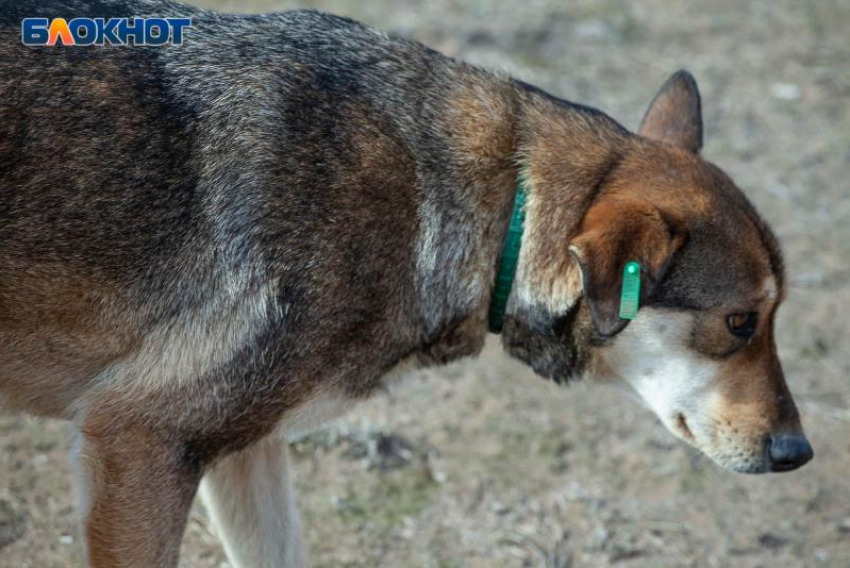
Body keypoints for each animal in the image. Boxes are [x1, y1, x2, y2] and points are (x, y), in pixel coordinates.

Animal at [0, 1, 808, 568]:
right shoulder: (137, 439)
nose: (798, 453)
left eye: (772, 319)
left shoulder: (242, 453)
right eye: (740, 323)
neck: (497, 202)